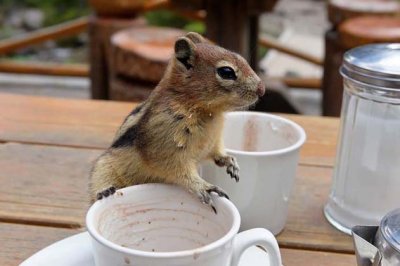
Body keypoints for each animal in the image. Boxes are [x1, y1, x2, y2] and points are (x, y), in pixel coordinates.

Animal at [89, 32, 264, 213]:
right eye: (227, 72)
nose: (262, 89)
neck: (208, 112)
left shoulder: (213, 142)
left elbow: (215, 153)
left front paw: (229, 160)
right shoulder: (166, 147)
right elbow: (178, 170)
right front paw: (203, 186)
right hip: (103, 168)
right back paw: (105, 191)